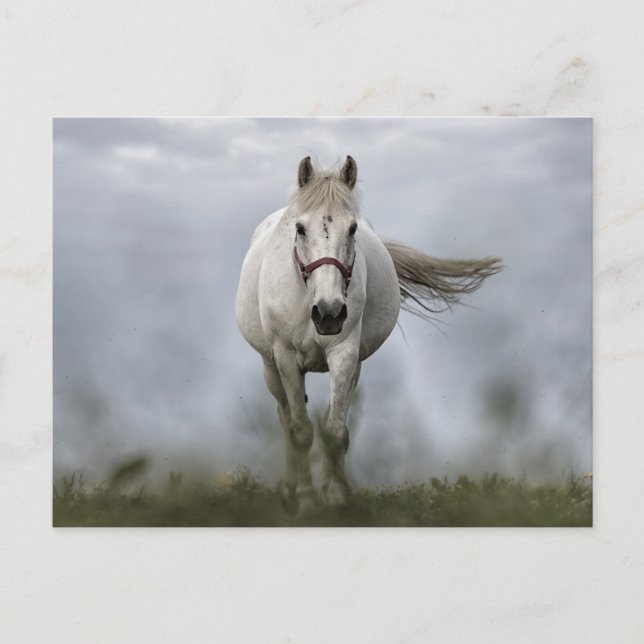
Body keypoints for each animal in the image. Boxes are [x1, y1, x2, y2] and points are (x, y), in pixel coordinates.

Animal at [235, 156, 501, 514]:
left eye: (352, 229)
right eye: (300, 228)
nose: (329, 312)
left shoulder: (345, 353)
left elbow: (335, 430)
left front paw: (336, 495)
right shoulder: (286, 357)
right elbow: (301, 431)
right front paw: (305, 500)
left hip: (354, 367)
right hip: (270, 366)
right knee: (285, 418)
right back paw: (290, 490)